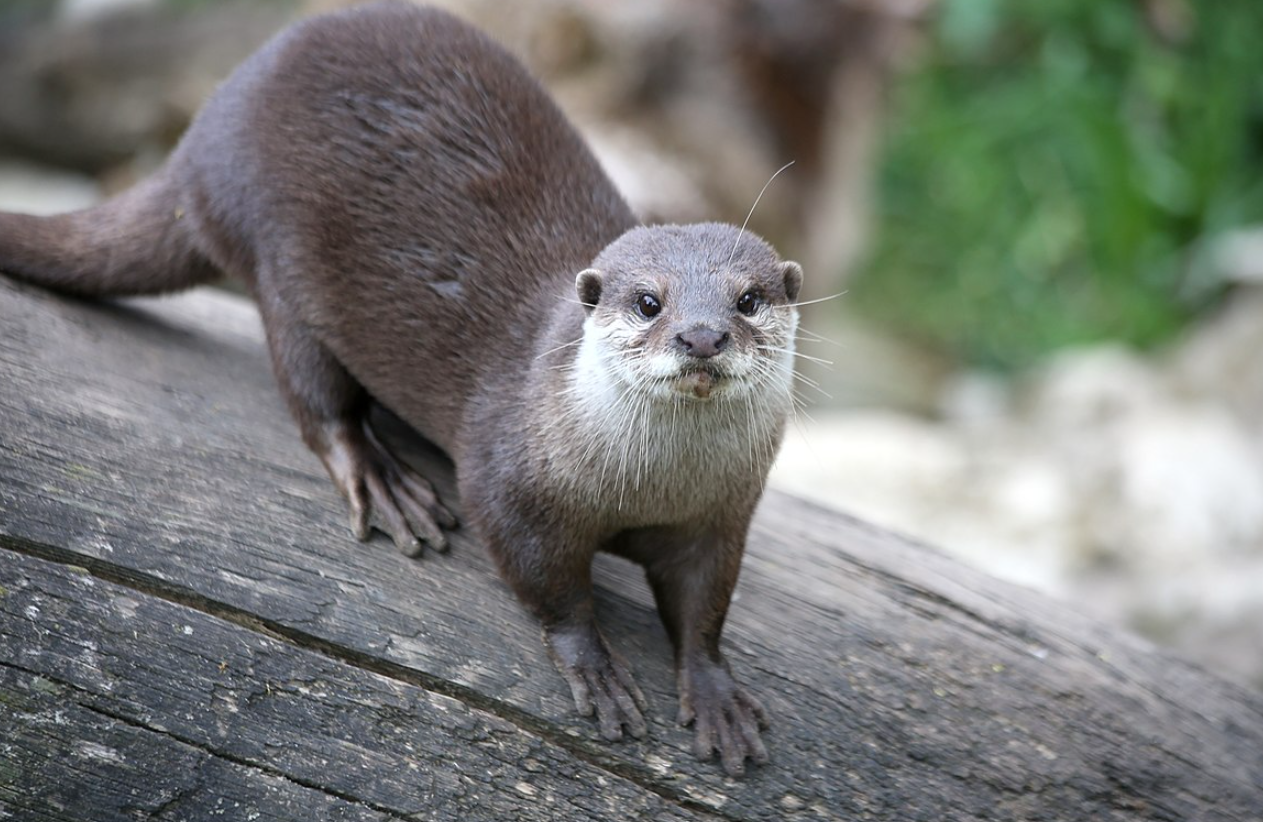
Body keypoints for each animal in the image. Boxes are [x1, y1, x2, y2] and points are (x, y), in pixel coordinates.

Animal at [0, 0, 798, 772]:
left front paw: (717, 693)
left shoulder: (719, 515)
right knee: (314, 398)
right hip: (279, 263)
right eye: (649, 302)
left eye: (748, 299)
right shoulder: (509, 480)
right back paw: (382, 481)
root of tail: (198, 143)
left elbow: (705, 605)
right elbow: (548, 585)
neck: (648, 486)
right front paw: (596, 670)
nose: (702, 336)